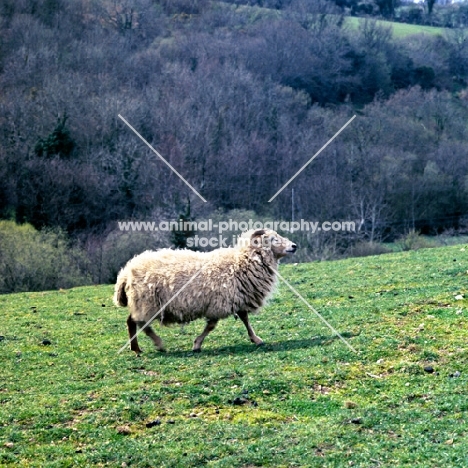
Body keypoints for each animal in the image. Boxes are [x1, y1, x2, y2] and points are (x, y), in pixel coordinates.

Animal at [113, 229, 296, 352]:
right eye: (273, 239)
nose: (294, 246)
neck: (240, 262)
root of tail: (126, 272)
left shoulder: (237, 298)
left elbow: (245, 319)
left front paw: (256, 339)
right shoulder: (218, 303)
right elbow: (211, 326)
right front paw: (197, 344)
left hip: (141, 303)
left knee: (132, 321)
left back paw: (136, 348)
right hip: (146, 302)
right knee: (140, 323)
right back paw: (157, 344)